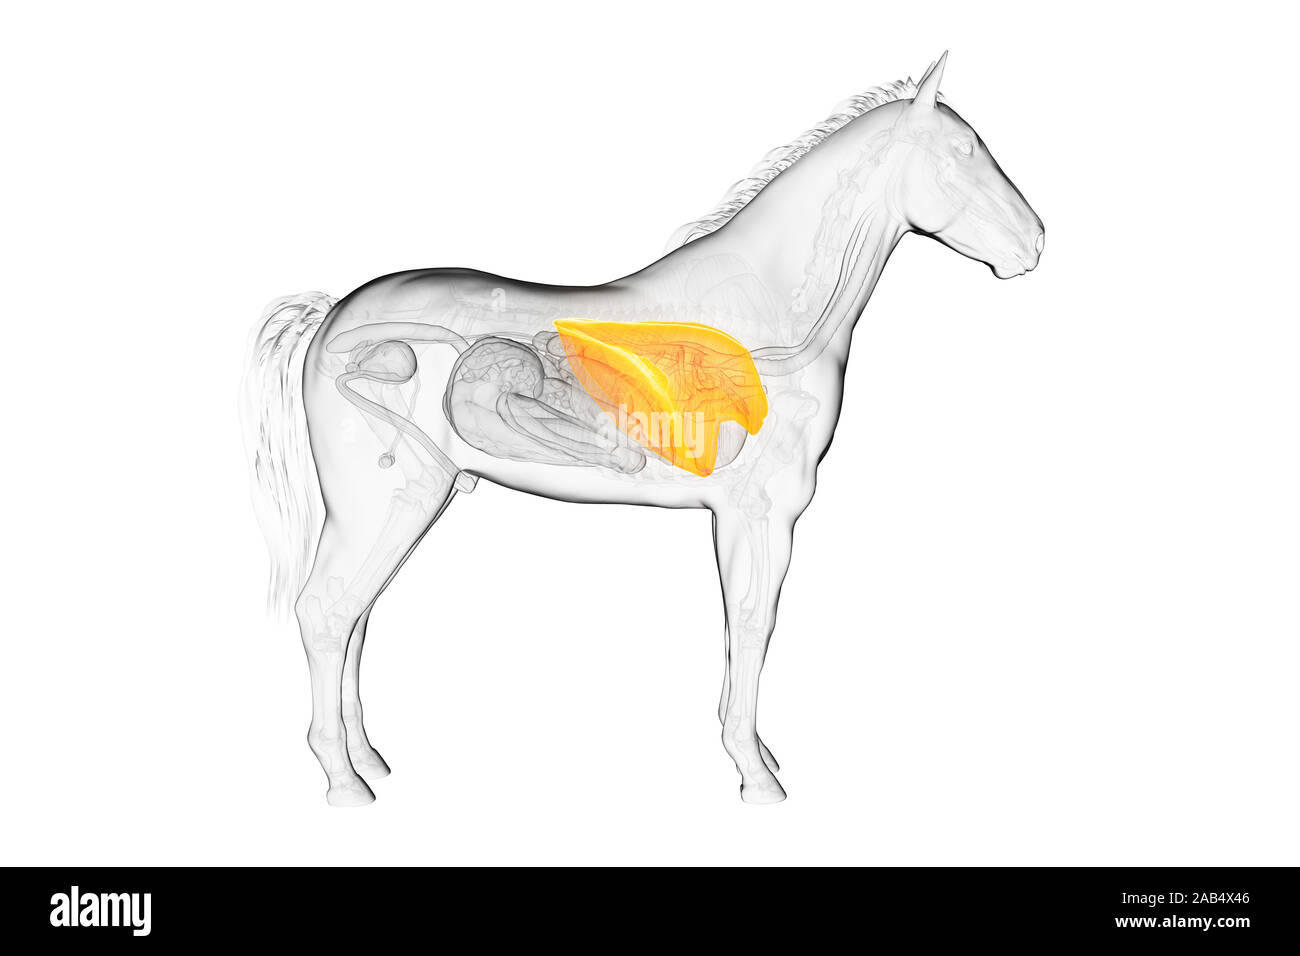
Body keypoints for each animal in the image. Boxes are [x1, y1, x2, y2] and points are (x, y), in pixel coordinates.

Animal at [242, 54, 1044, 806]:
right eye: (963, 150)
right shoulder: (759, 513)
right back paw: (344, 784)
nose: (1035, 244)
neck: (764, 320)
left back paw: (369, 761)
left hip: (401, 506)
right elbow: (753, 622)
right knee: (325, 612)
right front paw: (756, 775)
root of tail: (331, 319)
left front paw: (754, 754)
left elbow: (742, 626)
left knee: (354, 617)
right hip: (385, 503)